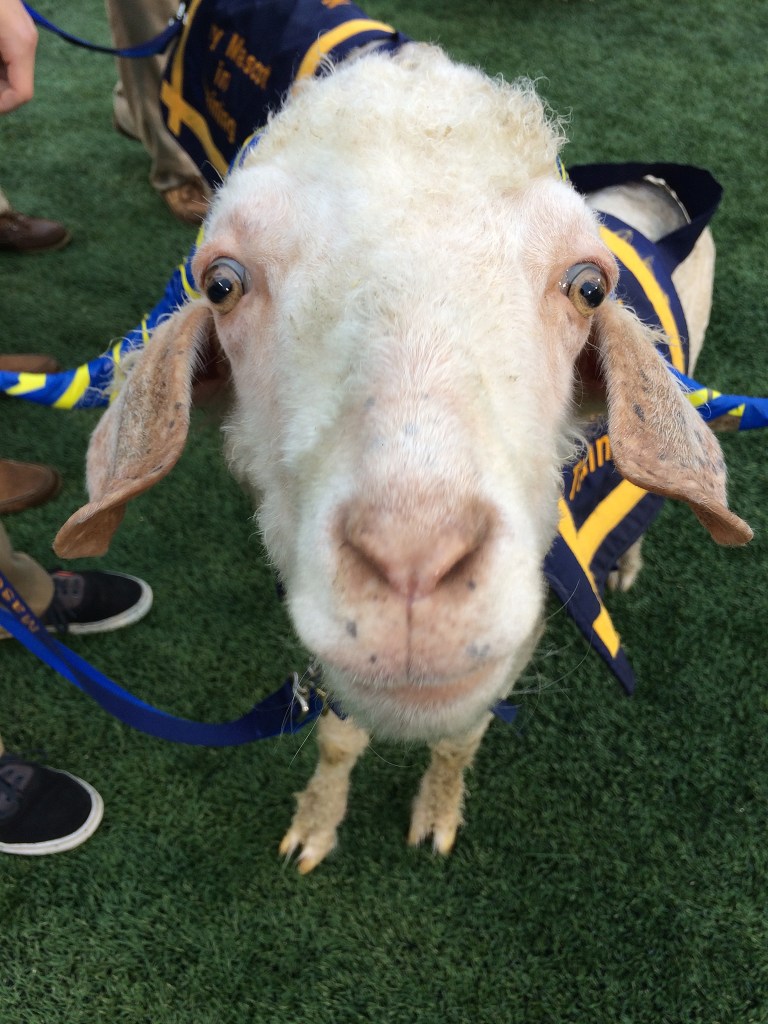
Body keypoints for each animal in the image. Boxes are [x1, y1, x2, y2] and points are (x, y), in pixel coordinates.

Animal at [55, 44, 751, 872]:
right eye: (221, 283)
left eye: (588, 287)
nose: (414, 560)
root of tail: (652, 186)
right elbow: (336, 737)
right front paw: (317, 823)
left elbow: (459, 739)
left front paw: (437, 812)